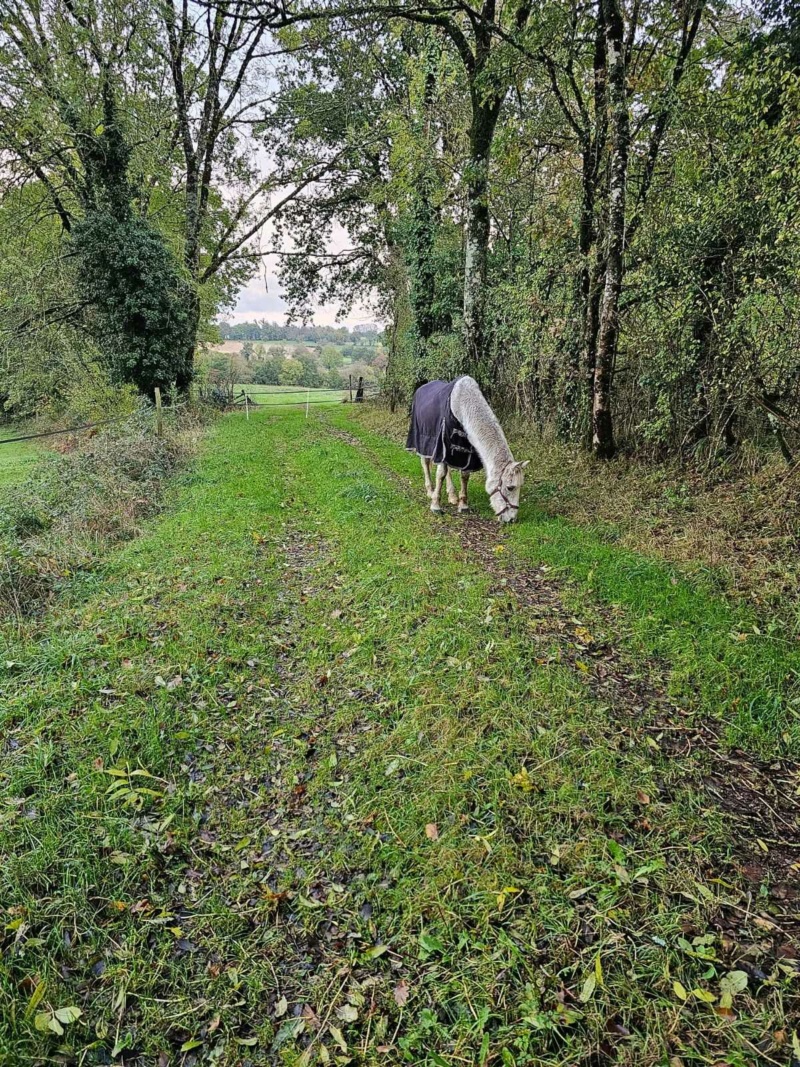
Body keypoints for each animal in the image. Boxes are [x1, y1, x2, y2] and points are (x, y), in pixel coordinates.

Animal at [407, 377, 533, 522]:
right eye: (510, 487)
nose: (512, 519)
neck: (462, 406)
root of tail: (422, 387)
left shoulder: (467, 453)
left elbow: (464, 476)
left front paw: (463, 505)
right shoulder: (442, 445)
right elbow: (441, 474)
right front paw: (435, 506)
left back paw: (452, 496)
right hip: (424, 441)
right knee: (425, 463)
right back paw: (430, 491)